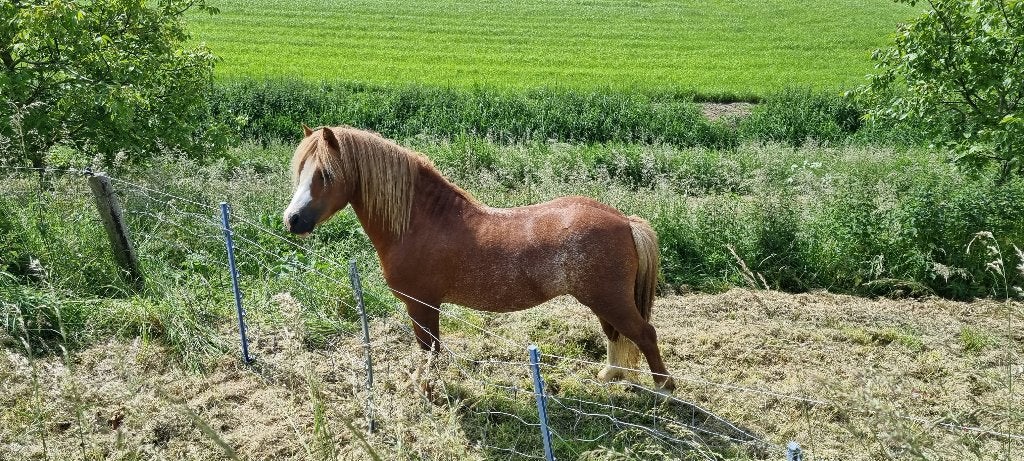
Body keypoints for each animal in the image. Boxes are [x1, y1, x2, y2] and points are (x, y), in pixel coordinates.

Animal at [282, 125, 676, 392]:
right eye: (299, 171)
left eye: (326, 174)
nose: (292, 220)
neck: (420, 222)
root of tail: (624, 220)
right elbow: (430, 349)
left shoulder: (422, 305)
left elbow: (429, 349)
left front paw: (425, 387)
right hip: (601, 299)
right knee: (615, 333)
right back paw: (611, 375)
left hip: (608, 298)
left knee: (644, 333)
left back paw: (664, 388)